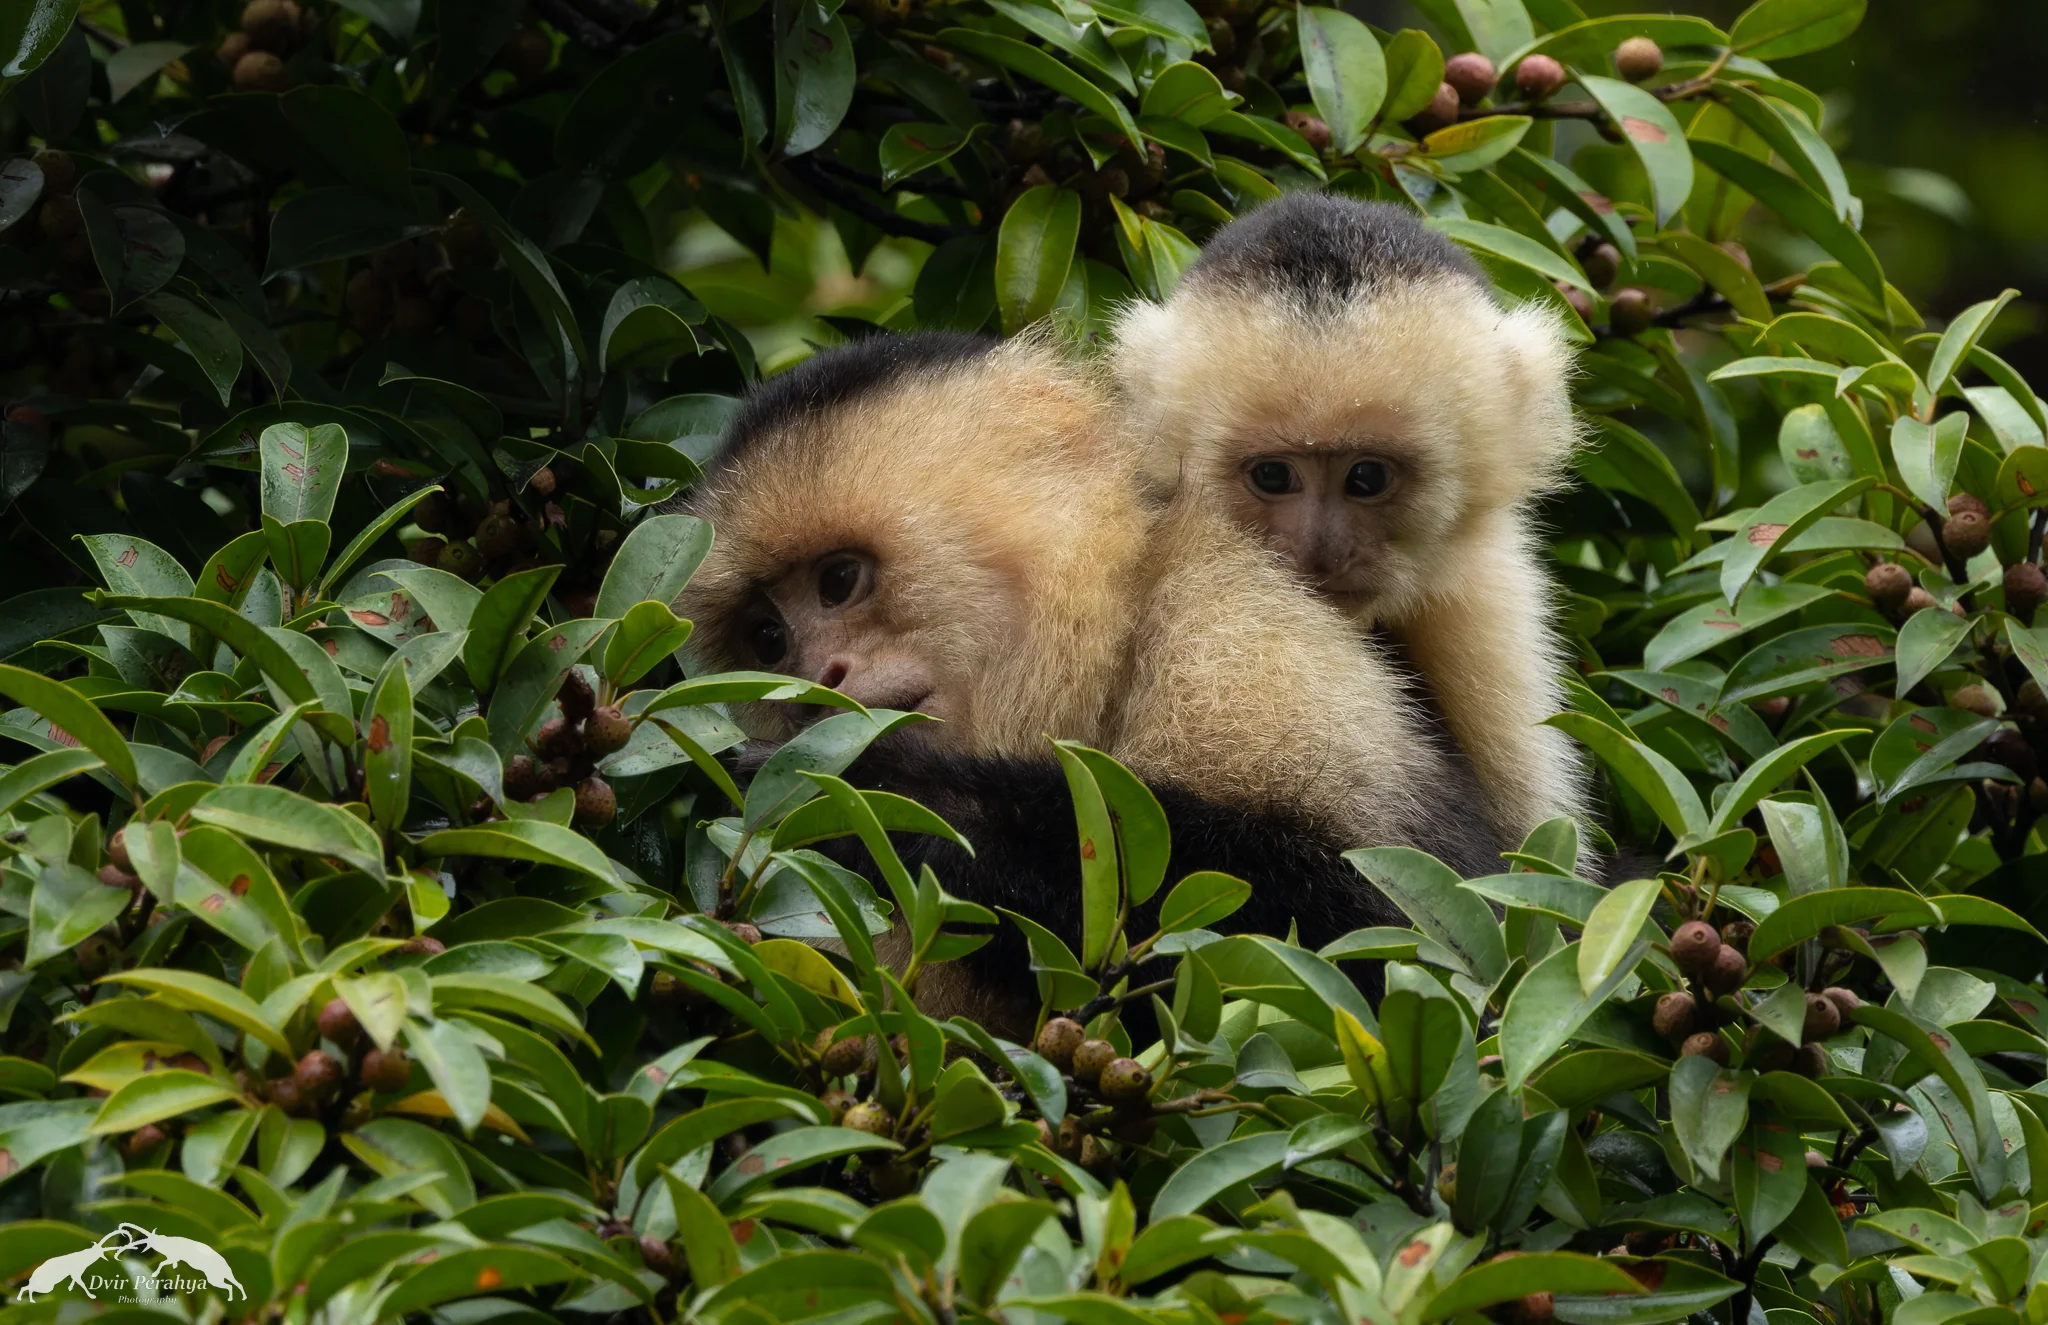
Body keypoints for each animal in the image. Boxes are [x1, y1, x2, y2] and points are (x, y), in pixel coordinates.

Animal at [678, 331, 1504, 1026]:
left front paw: (888, 796)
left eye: (840, 580)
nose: (818, 677)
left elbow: (1408, 941)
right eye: (768, 637)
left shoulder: (1233, 634)